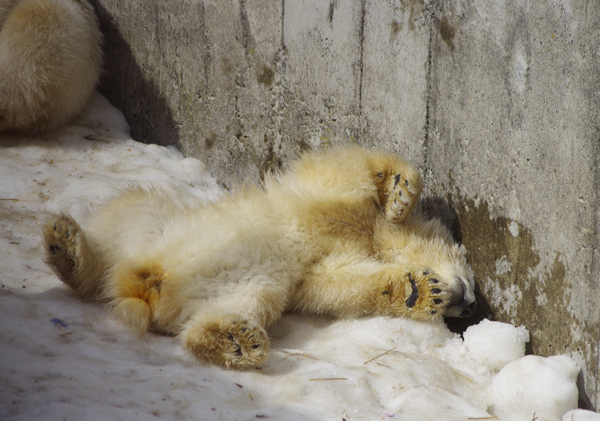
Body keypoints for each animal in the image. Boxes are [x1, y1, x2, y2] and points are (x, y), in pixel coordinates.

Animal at [42, 145, 476, 368]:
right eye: (470, 271)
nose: (469, 306)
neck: (369, 234)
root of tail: (143, 283)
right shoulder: (327, 198)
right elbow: (344, 166)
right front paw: (400, 190)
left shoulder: (323, 263)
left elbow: (338, 282)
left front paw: (419, 293)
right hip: (154, 222)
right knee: (125, 215)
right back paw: (66, 244)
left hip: (241, 283)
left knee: (241, 303)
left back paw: (236, 340)